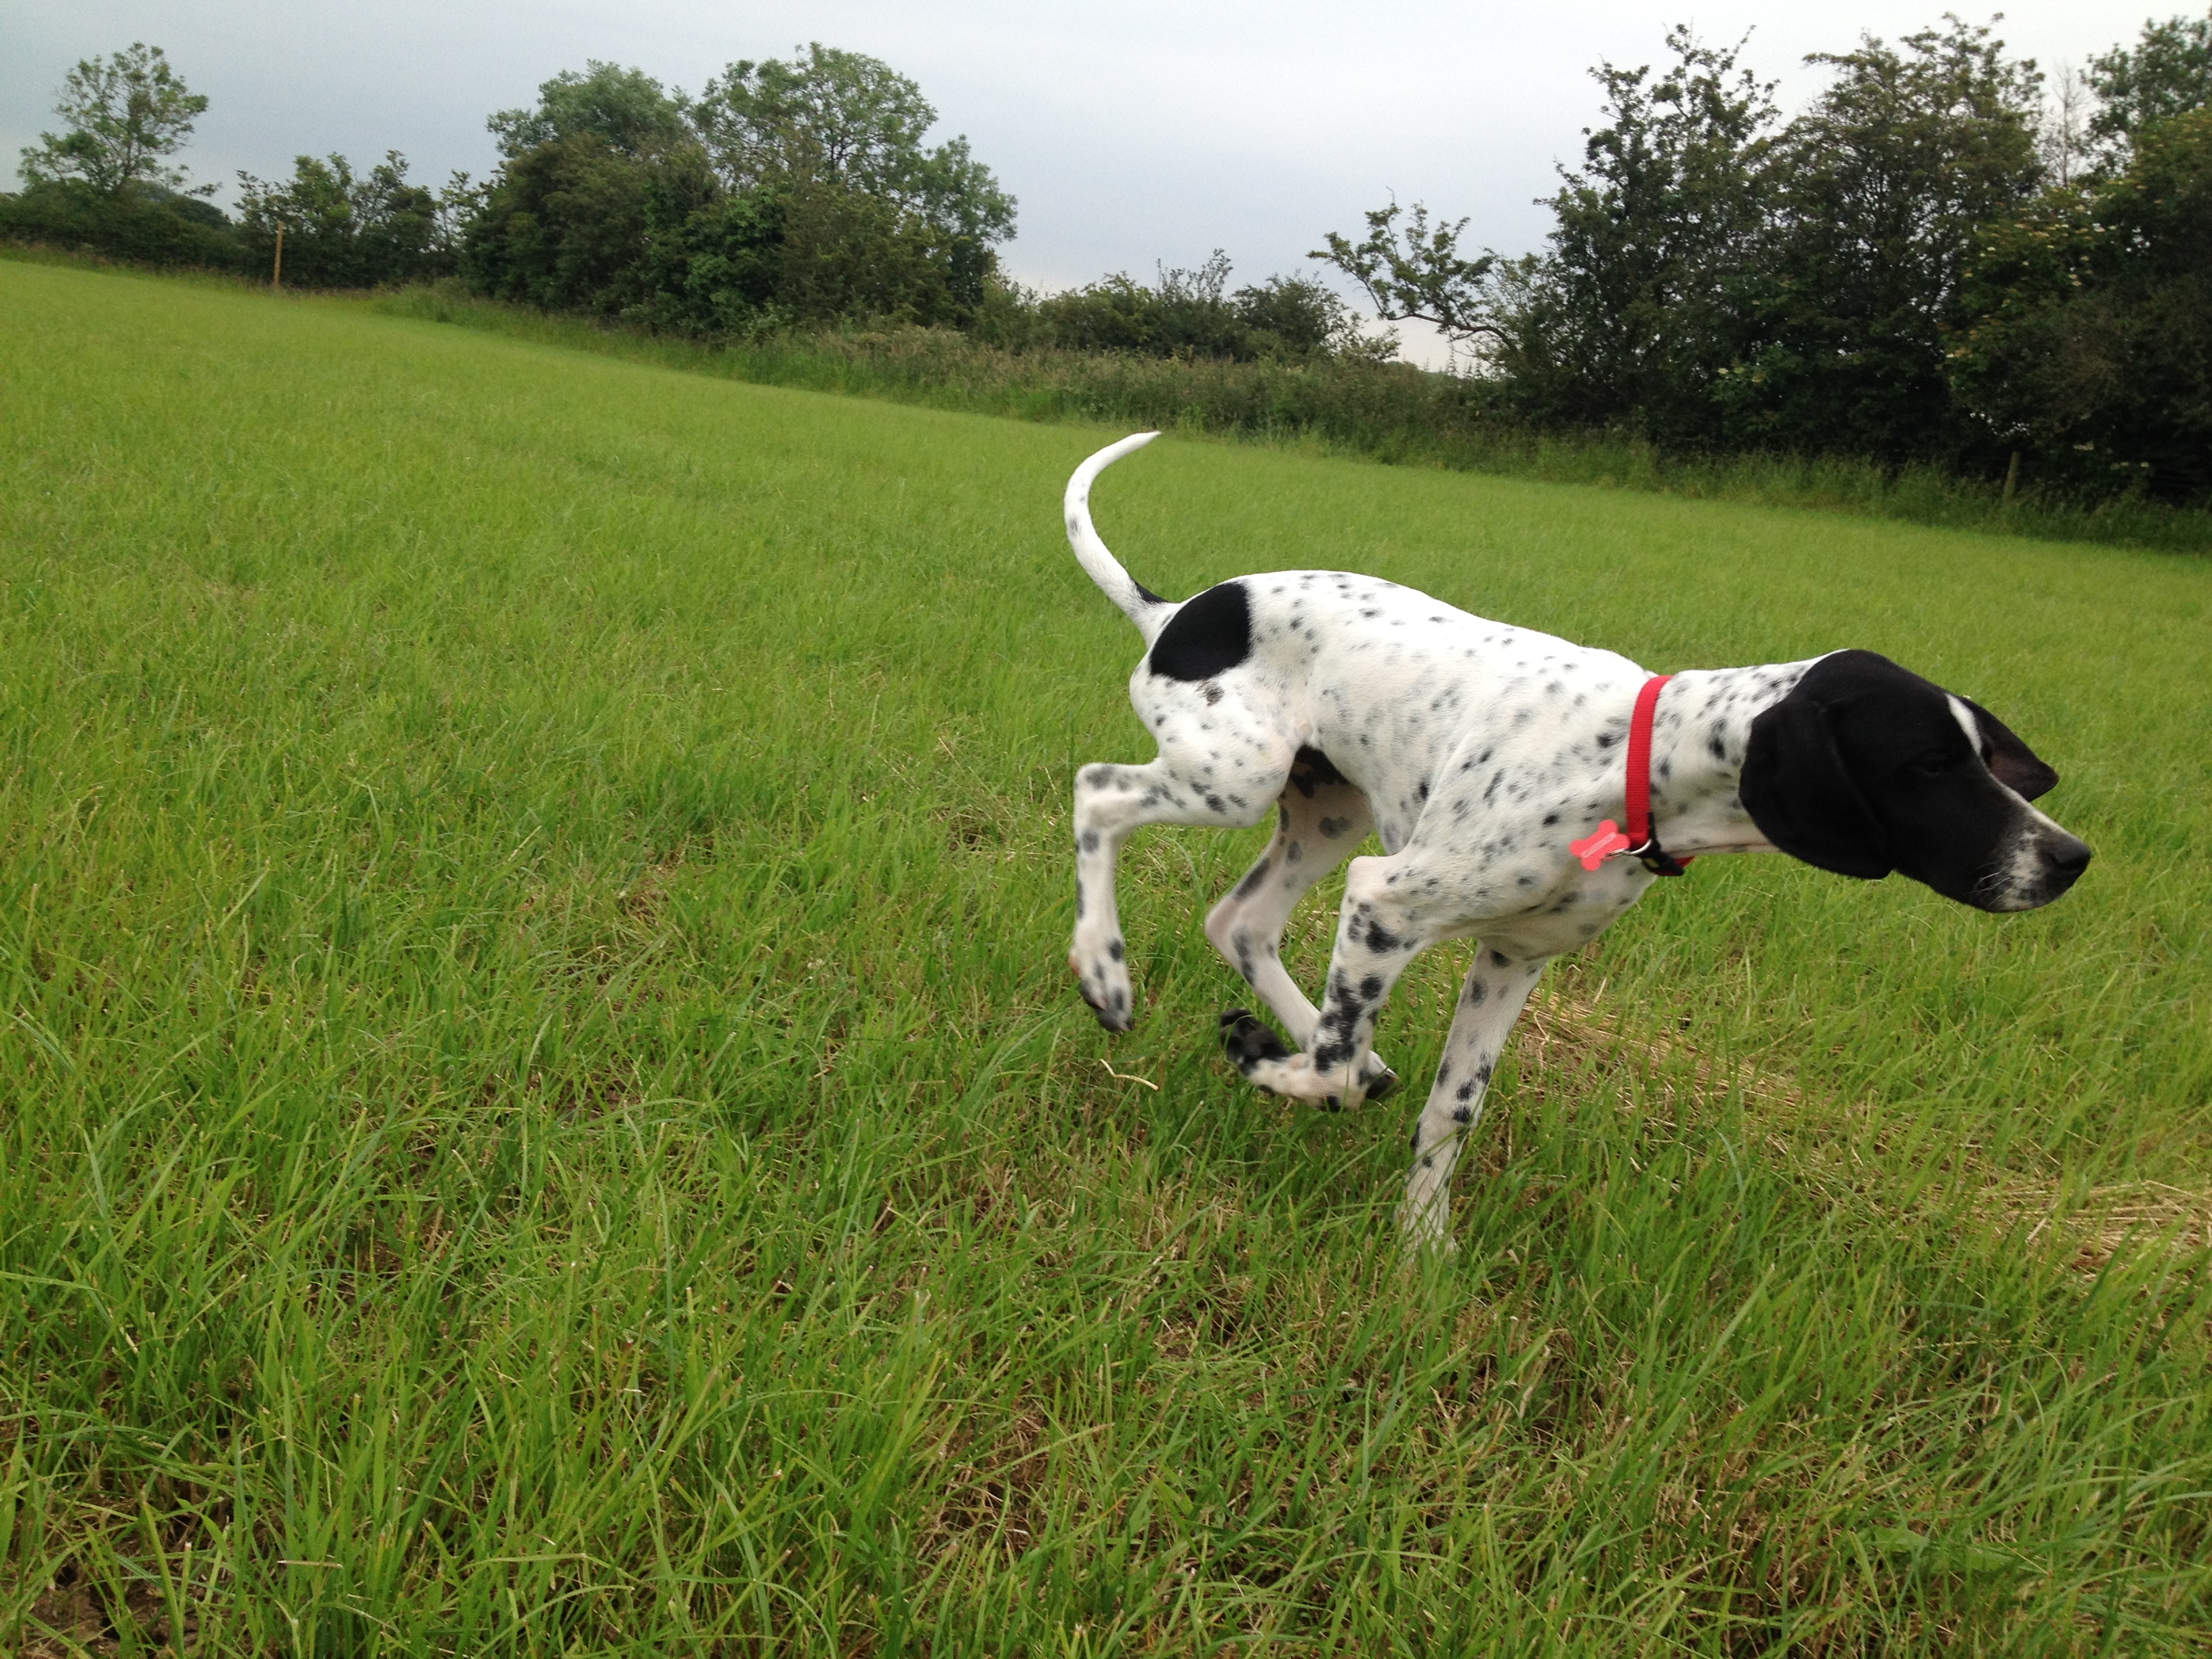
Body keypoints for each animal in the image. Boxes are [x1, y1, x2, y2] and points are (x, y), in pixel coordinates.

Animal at [1052, 436, 2088, 1238]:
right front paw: (1267, 1064)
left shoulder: (1514, 958)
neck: (1638, 756)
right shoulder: (1390, 899)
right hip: (1235, 779)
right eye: (1928, 765)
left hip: (1326, 809)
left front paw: (1422, 1252)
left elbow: (1449, 1107)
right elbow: (1334, 1077)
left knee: (1243, 925)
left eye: (1981, 754)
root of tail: (1175, 612)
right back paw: (1107, 970)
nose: (2069, 859)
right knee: (1098, 794)